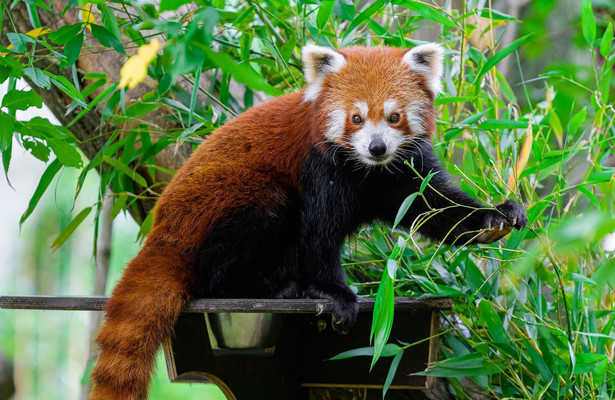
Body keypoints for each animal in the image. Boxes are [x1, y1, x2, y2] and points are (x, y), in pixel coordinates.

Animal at [88, 43, 528, 400]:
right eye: (356, 118)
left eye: (394, 116)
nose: (377, 147)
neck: (367, 171)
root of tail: (163, 231)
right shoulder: (318, 166)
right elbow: (319, 234)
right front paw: (335, 295)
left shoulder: (404, 171)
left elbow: (435, 208)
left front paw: (497, 215)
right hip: (231, 201)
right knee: (229, 253)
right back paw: (274, 288)